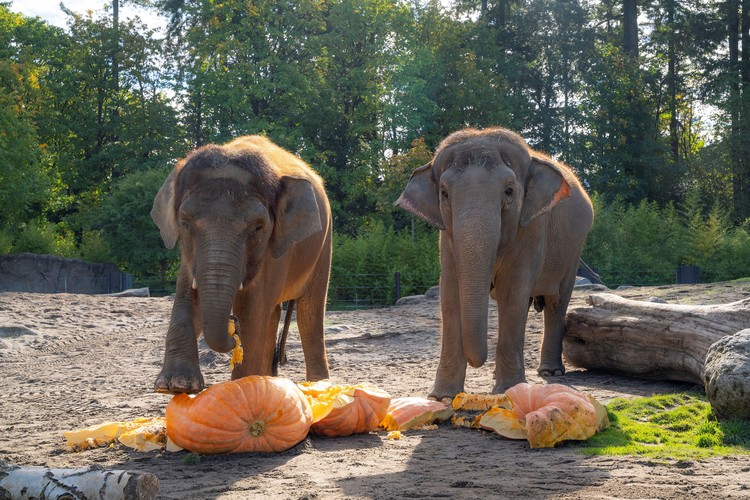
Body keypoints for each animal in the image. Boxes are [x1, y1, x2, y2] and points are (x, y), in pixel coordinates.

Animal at [150, 135, 332, 394]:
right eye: (185, 222)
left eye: (258, 227)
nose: (232, 325)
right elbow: (187, 296)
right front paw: (175, 386)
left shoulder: (275, 252)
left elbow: (252, 310)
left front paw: (240, 385)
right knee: (274, 313)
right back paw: (269, 380)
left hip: (324, 245)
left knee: (310, 312)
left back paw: (319, 386)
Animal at [396, 127, 593, 401]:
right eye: (444, 194)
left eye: (509, 192)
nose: (477, 361)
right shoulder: (447, 237)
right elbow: (450, 293)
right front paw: (442, 397)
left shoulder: (531, 227)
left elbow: (513, 293)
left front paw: (509, 390)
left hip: (573, 249)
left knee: (557, 301)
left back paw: (550, 372)